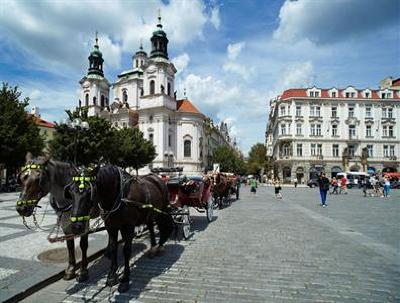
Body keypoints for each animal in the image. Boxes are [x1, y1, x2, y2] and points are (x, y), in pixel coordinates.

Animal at [15, 154, 97, 282]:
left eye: (38, 179)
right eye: (22, 178)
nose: (21, 208)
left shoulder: (84, 221)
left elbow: (83, 245)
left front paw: (83, 271)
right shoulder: (65, 220)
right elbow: (69, 244)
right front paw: (70, 269)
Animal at [66, 165, 174, 294]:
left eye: (88, 192)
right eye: (70, 192)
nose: (76, 227)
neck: (119, 196)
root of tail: (157, 178)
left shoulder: (129, 226)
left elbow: (126, 250)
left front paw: (125, 280)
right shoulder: (111, 226)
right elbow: (113, 248)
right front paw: (112, 276)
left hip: (162, 209)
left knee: (164, 225)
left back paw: (160, 246)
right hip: (149, 213)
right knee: (151, 226)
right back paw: (153, 248)